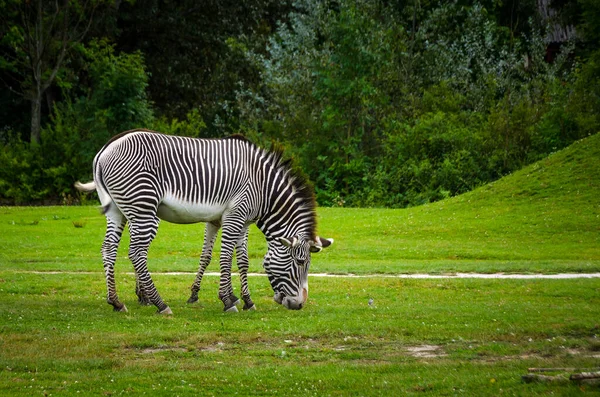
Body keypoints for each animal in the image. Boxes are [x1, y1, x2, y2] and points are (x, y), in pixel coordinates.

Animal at [75, 130, 332, 312]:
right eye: (300, 262)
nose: (299, 304)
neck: (264, 188)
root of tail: (105, 150)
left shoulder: (240, 221)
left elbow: (242, 261)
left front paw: (246, 301)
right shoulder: (235, 216)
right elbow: (226, 257)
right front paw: (228, 300)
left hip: (117, 210)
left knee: (109, 249)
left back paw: (116, 302)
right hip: (143, 208)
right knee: (137, 252)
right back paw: (159, 304)